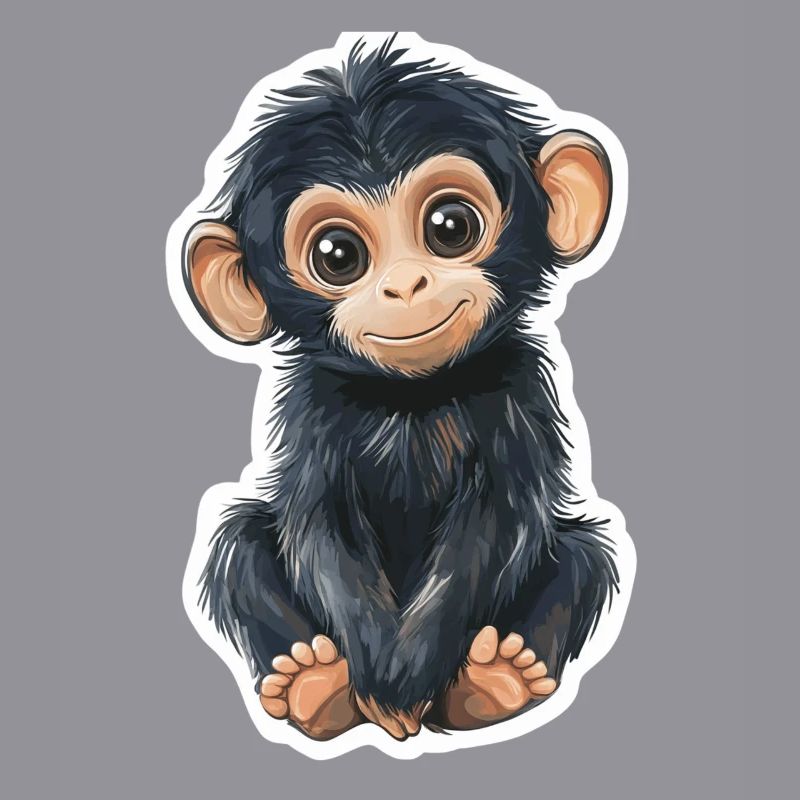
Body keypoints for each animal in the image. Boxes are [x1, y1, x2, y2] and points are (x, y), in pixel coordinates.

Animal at [181, 37, 621, 742]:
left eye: (450, 226)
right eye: (337, 255)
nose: (405, 285)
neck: (410, 399)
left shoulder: (518, 393)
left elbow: (496, 524)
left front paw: (407, 672)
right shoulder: (313, 412)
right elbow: (318, 524)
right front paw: (379, 676)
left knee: (584, 556)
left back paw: (495, 682)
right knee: (240, 542)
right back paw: (315, 684)